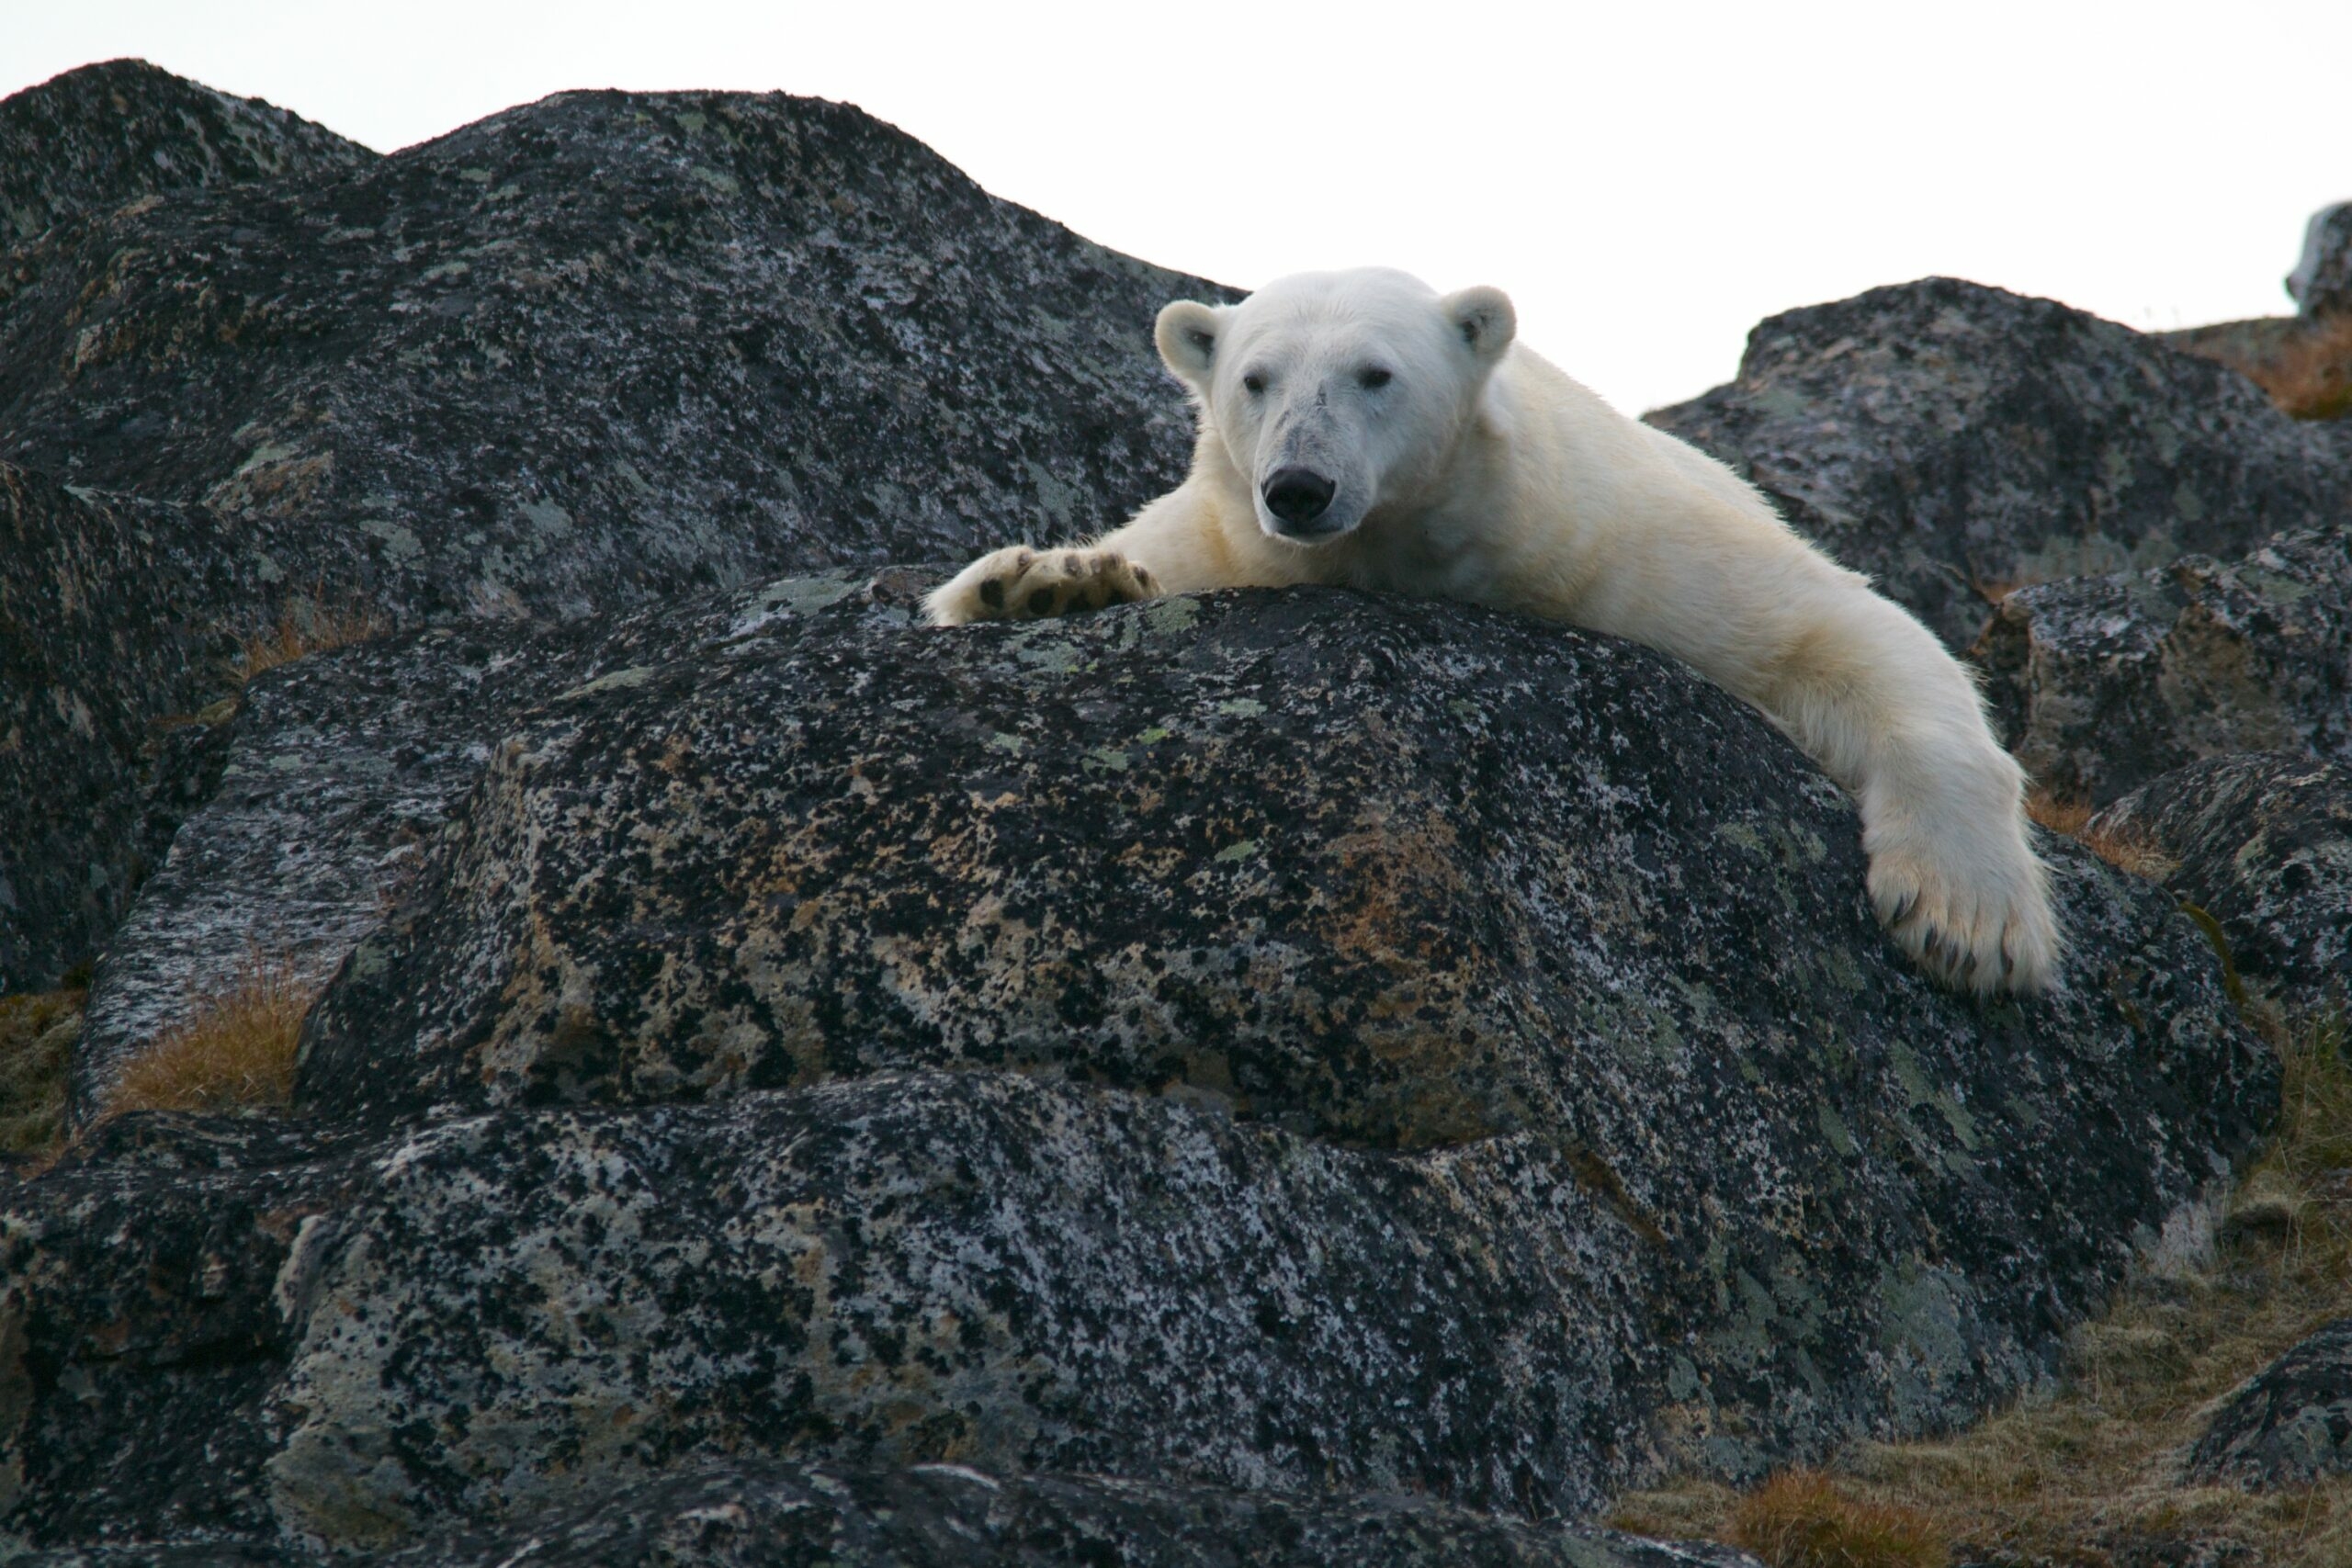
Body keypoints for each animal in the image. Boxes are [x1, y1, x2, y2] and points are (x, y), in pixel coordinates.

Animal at [917, 263, 2060, 987]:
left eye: (1375, 374)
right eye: (1254, 379)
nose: (1297, 486)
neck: (1416, 545)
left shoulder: (1618, 544)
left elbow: (1837, 629)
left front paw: (1966, 923)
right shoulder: (1225, 536)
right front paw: (1043, 581)